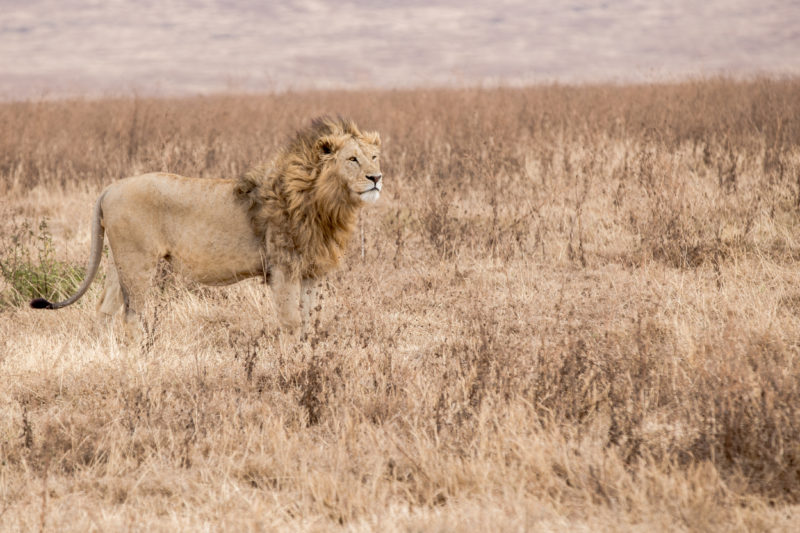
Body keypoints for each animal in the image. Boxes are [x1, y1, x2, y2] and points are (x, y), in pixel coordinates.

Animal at [29, 117, 382, 340]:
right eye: (353, 159)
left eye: (375, 157)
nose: (376, 178)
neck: (325, 201)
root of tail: (110, 188)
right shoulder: (282, 268)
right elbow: (291, 323)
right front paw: (290, 365)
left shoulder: (311, 271)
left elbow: (310, 321)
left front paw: (308, 356)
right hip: (138, 262)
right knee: (131, 316)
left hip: (121, 262)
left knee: (104, 310)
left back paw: (107, 357)